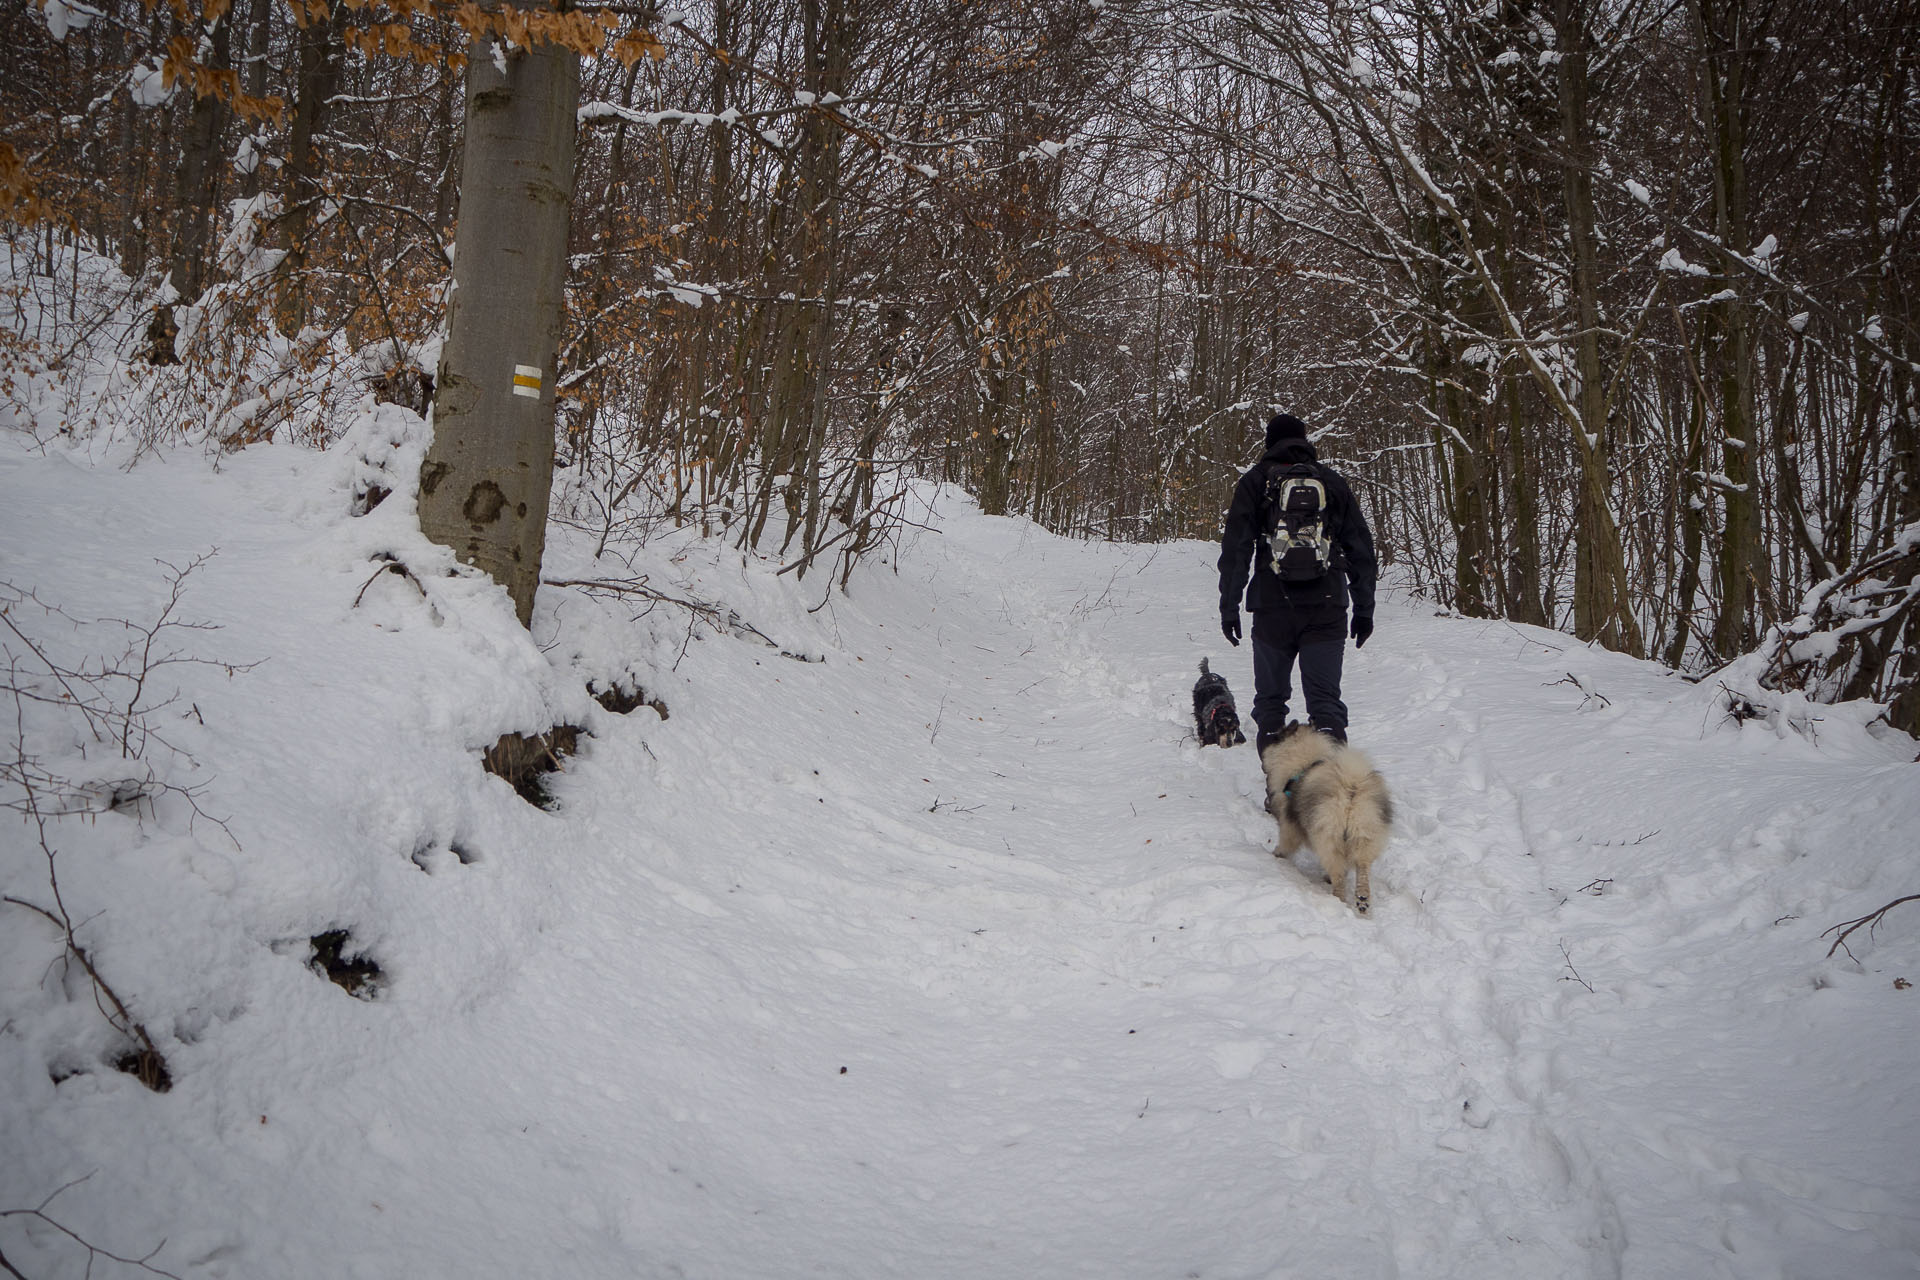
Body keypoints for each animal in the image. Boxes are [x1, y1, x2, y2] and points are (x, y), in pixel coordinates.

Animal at [1259, 725, 1397, 917]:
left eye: (1275, 737)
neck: (1302, 762)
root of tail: (1351, 787)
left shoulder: (1289, 825)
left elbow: (1286, 843)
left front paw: (1276, 855)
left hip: (1328, 838)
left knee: (1338, 874)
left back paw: (1338, 899)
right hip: (1365, 834)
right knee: (1362, 867)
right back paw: (1362, 899)